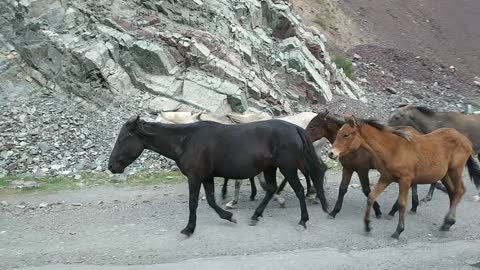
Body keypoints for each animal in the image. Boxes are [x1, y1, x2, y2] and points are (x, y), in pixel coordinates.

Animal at [108, 116, 330, 236]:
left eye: (124, 138)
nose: (111, 166)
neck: (186, 141)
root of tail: (295, 128)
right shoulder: (206, 177)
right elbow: (212, 201)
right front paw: (228, 216)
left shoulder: (195, 177)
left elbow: (194, 203)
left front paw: (189, 228)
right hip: (270, 168)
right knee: (271, 190)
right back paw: (255, 216)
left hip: (287, 168)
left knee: (299, 190)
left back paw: (302, 221)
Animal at [306, 110, 436, 218]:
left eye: (312, 126)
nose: (331, 154)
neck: (355, 149)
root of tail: (418, 133)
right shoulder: (348, 168)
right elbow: (342, 189)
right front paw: (334, 211)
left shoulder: (362, 169)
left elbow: (366, 190)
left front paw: (377, 210)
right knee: (413, 184)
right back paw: (413, 206)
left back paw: (395, 210)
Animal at [328, 116, 480, 238]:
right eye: (338, 133)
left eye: (346, 135)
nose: (331, 153)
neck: (392, 149)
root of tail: (466, 140)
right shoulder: (385, 178)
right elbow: (371, 196)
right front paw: (367, 226)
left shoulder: (405, 180)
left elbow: (402, 203)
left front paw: (398, 231)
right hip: (445, 175)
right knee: (452, 193)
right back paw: (447, 223)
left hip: (455, 170)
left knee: (459, 191)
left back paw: (447, 222)